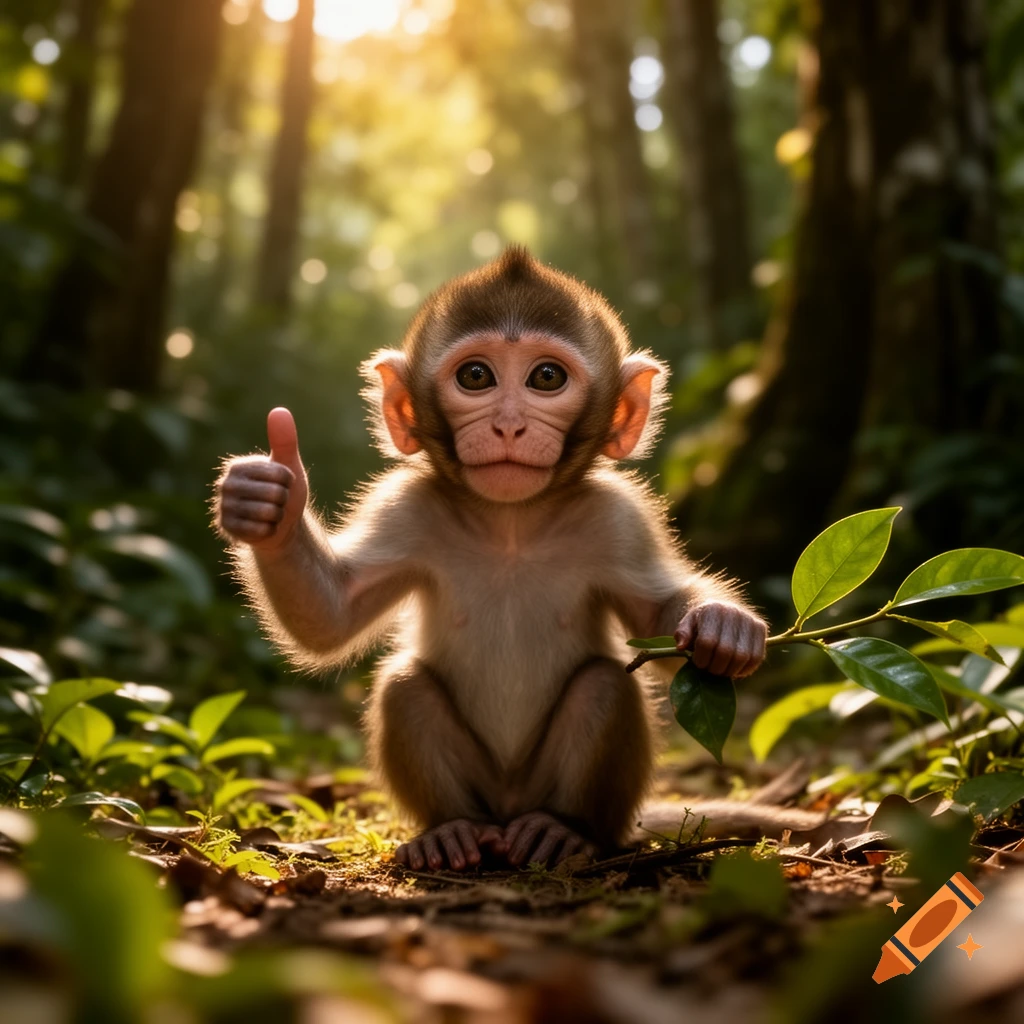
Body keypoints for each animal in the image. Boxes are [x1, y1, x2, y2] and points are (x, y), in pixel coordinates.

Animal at [214, 246, 798, 872]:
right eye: (476, 377)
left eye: (547, 377)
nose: (509, 424)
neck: (512, 525)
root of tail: (508, 812)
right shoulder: (404, 507)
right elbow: (331, 617)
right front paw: (268, 504)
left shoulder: (620, 519)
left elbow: (659, 622)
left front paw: (722, 626)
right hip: (486, 792)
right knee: (406, 686)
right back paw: (451, 830)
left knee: (602, 685)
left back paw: (565, 830)